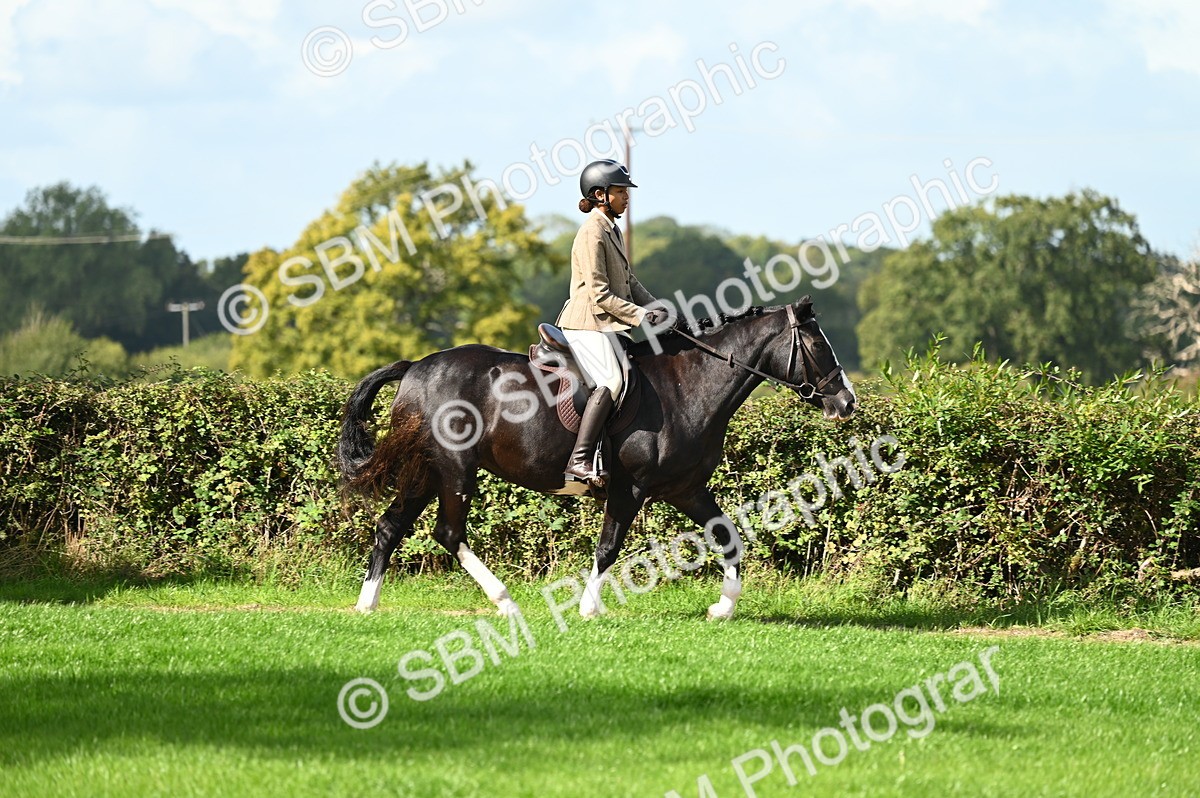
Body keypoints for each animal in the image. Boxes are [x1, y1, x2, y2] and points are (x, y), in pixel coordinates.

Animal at [337, 296, 856, 620]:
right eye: (817, 344)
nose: (846, 402)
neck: (688, 386)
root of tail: (416, 367)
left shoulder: (685, 488)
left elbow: (728, 536)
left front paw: (723, 608)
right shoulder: (630, 488)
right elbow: (608, 547)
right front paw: (589, 608)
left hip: (425, 470)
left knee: (390, 526)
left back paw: (367, 604)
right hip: (454, 468)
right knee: (448, 532)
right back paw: (505, 602)